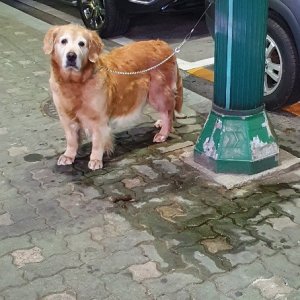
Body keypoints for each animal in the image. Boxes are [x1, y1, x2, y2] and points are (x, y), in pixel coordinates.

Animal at [43, 24, 182, 170]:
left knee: (167, 112)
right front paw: (68, 156)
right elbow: (71, 140)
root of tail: (165, 45)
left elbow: (97, 142)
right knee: (169, 109)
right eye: (63, 41)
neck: (75, 83)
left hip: (157, 93)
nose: (71, 56)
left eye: (82, 43)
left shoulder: (99, 119)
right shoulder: (66, 117)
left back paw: (163, 133)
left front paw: (95, 159)